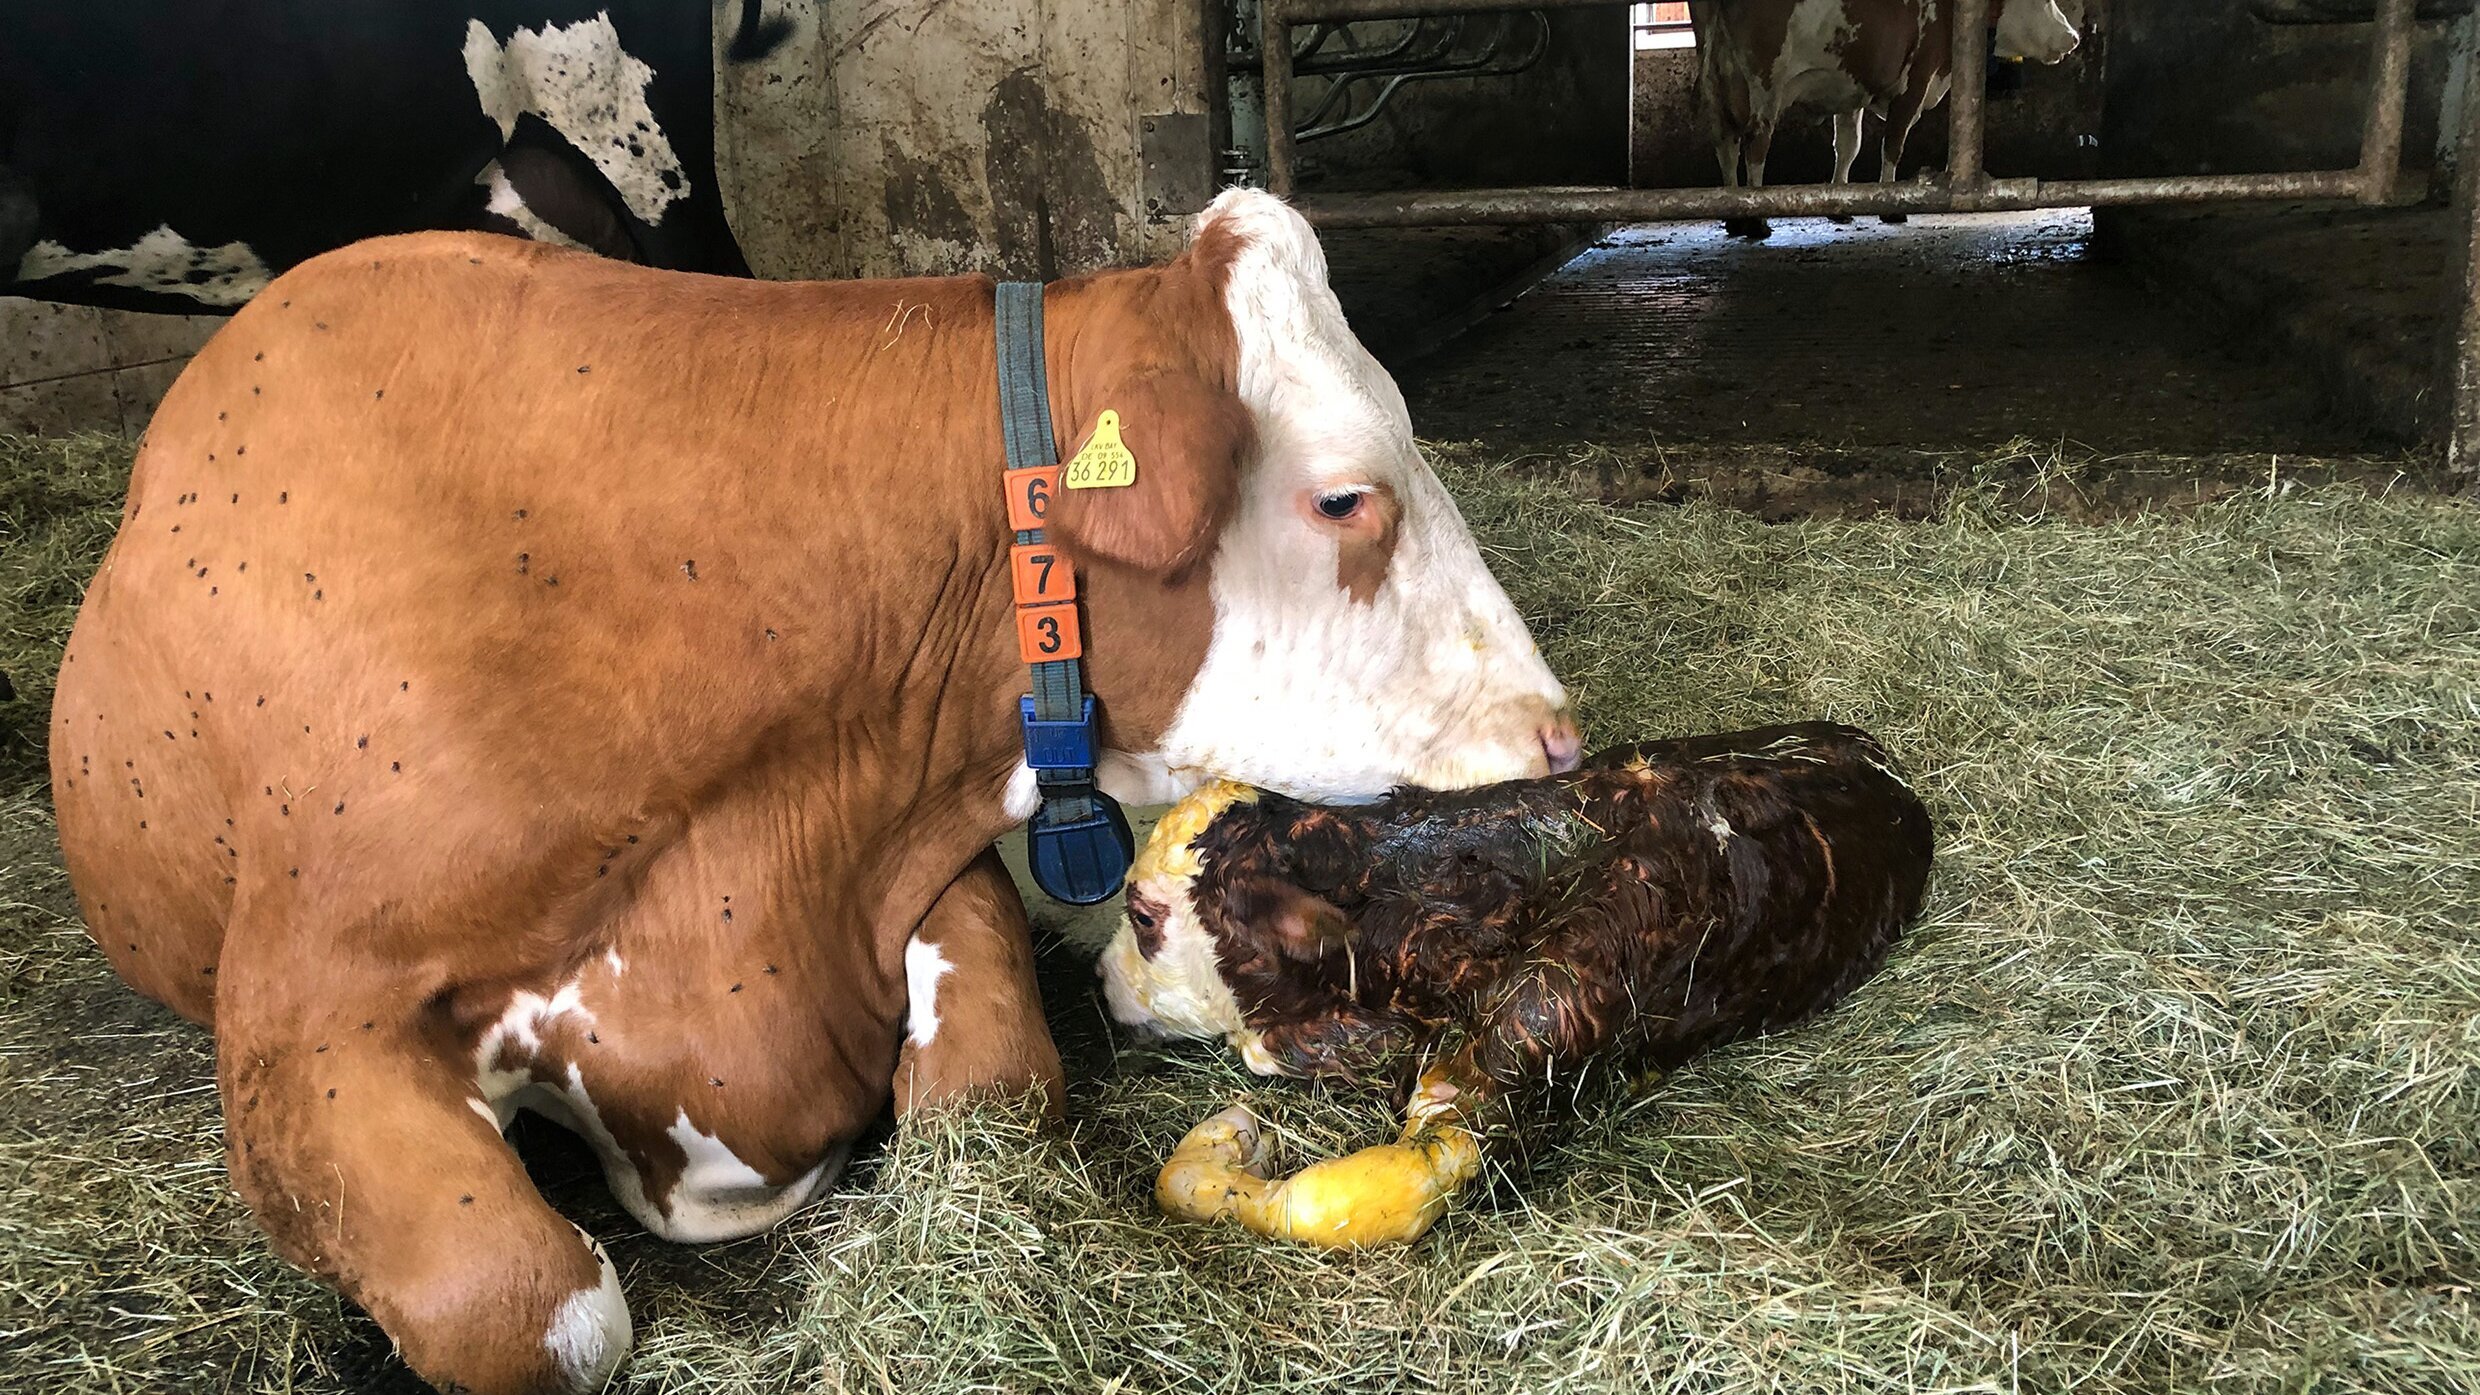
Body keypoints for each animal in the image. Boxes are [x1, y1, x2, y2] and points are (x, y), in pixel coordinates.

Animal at [48, 187, 1577, 1390]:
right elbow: (539, 1309)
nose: (1559, 733)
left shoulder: (907, 865)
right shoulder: (303, 1017)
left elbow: (991, 1089)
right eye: (1343, 498)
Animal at [1696, 0, 2083, 238]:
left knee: (1725, 143)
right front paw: (1892, 206)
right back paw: (1756, 218)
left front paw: (1840, 204)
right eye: (2041, 0)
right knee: (1756, 145)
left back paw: (1734, 214)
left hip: (1717, 81)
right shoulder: (1917, 79)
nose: (2074, 38)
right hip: (1766, 84)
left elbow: (1848, 146)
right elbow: (1893, 143)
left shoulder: (1850, 88)